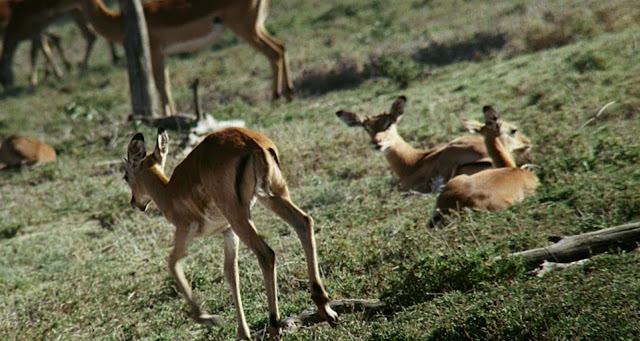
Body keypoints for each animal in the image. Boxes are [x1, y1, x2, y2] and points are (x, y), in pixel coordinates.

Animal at [122, 126, 338, 338]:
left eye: (125, 176)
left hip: (240, 215)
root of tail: (253, 142)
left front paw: (207, 318)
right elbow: (230, 273)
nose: (134, 203)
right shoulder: (228, 231)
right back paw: (326, 309)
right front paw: (243, 333)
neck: (169, 193)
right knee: (304, 222)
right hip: (272, 197)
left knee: (266, 254)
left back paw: (274, 326)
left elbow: (172, 264)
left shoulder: (185, 231)